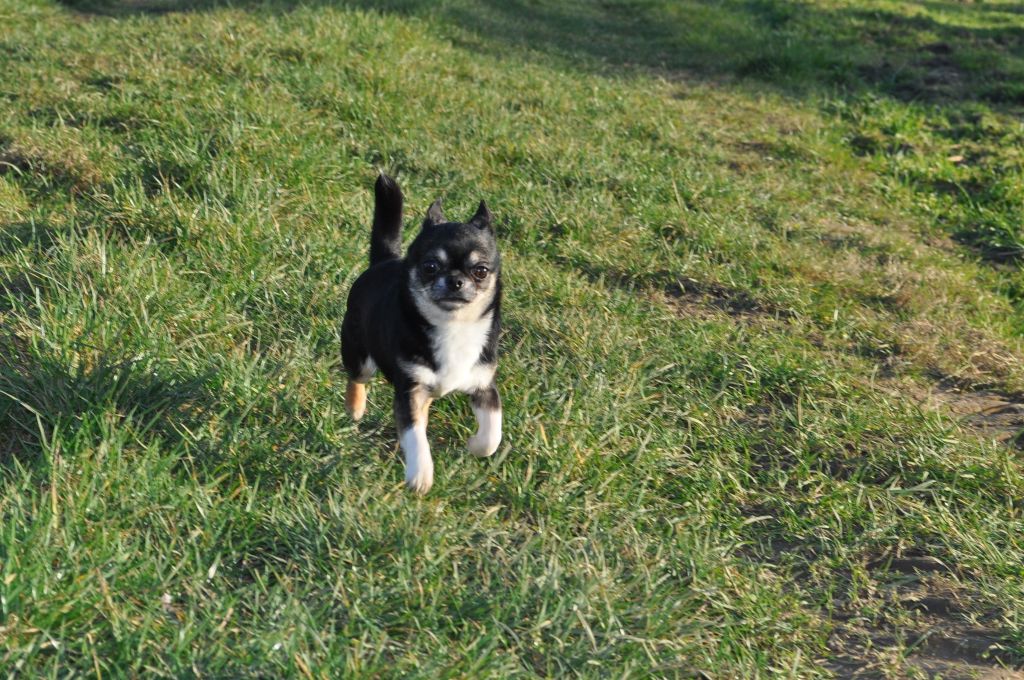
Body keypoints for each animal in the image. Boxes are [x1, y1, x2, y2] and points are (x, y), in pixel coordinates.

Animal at [342, 174, 501, 493]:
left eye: (480, 271)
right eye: (430, 267)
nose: (455, 281)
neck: (453, 326)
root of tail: (383, 261)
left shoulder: (484, 386)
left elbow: (493, 435)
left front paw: (475, 445)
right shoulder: (409, 390)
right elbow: (414, 435)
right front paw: (420, 474)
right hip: (359, 354)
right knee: (357, 378)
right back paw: (355, 407)